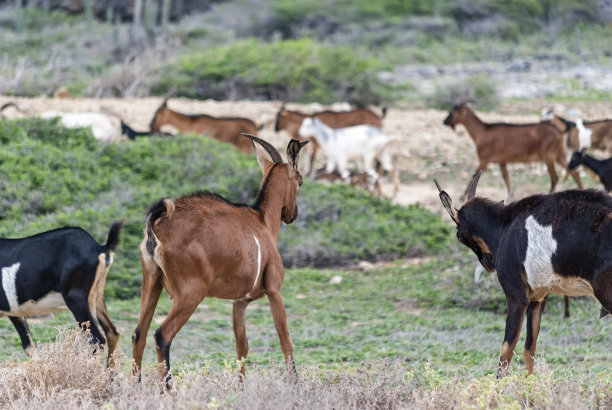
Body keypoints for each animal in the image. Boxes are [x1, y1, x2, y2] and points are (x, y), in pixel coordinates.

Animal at [0, 221, 123, 366]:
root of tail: (98, 248)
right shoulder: (15, 313)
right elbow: (30, 347)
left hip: (75, 299)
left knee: (97, 340)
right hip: (96, 298)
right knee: (112, 332)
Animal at [132, 134, 308, 388]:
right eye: (300, 181)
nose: (292, 215)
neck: (261, 221)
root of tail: (157, 225)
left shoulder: (240, 302)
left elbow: (242, 347)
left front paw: (241, 388)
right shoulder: (275, 291)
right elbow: (286, 341)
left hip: (151, 286)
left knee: (139, 334)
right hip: (190, 295)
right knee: (162, 335)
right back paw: (167, 390)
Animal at [436, 171, 612, 378]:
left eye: (459, 235)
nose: (488, 263)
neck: (506, 225)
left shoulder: (517, 298)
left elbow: (506, 352)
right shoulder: (536, 300)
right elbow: (529, 350)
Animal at [442, 103, 580, 201]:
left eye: (452, 112)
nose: (444, 121)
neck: (483, 132)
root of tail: (560, 131)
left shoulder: (484, 160)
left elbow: (474, 175)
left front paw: (462, 196)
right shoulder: (502, 162)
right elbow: (506, 178)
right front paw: (510, 197)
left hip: (549, 157)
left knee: (555, 178)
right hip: (559, 155)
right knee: (574, 172)